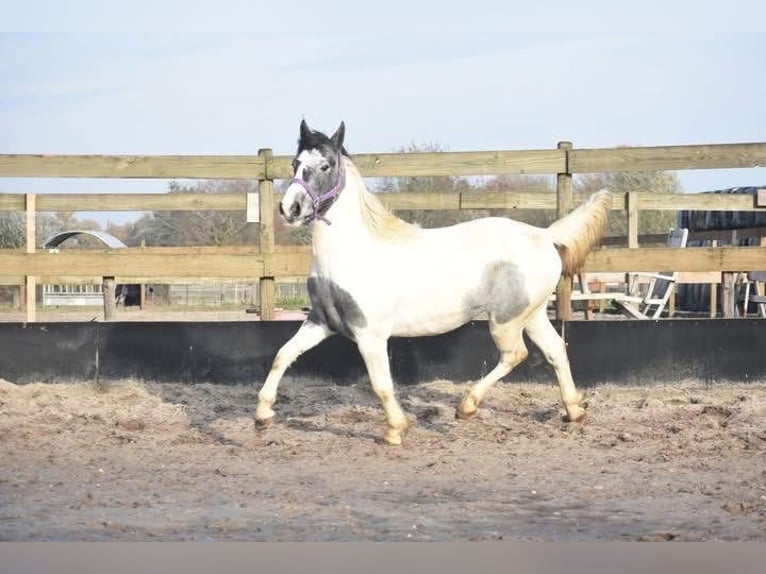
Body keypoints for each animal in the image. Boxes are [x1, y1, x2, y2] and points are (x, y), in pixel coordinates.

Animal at [255, 120, 612, 445]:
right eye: (295, 163)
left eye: (326, 165)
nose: (290, 208)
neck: (351, 253)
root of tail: (544, 235)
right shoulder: (321, 322)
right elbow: (282, 355)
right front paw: (262, 416)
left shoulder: (370, 334)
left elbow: (381, 384)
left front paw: (395, 430)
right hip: (532, 314)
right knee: (555, 350)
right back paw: (573, 412)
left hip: (505, 321)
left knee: (515, 355)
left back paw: (467, 407)